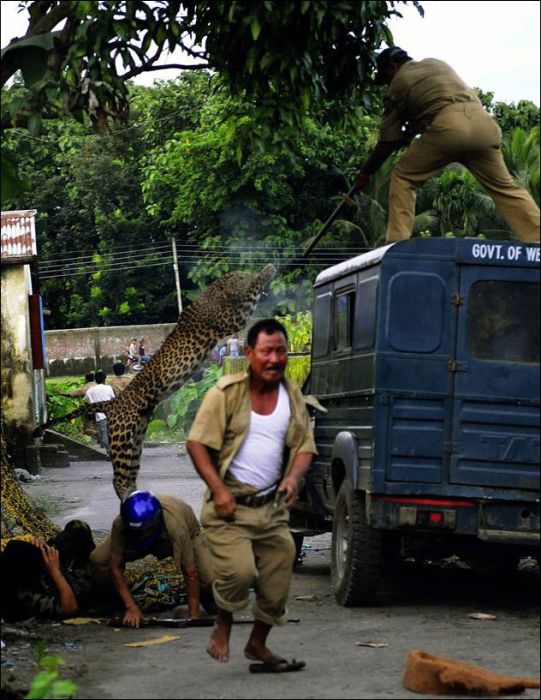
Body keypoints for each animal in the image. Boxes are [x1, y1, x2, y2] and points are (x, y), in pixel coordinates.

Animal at [34, 262, 274, 498]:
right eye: (240, 277)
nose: (247, 274)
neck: (214, 295)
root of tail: (113, 402)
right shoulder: (232, 319)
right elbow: (251, 294)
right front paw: (267, 271)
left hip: (135, 440)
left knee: (128, 474)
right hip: (122, 438)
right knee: (118, 478)